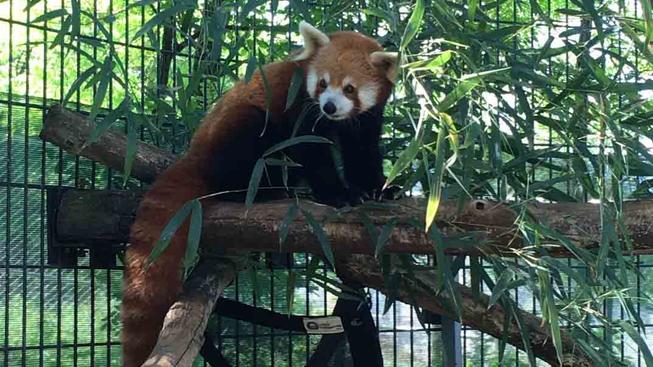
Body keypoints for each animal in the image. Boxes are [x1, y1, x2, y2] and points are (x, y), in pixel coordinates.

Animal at [120, 21, 400, 366]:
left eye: (349, 88)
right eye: (322, 83)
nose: (329, 106)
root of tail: (196, 154)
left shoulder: (365, 119)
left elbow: (363, 153)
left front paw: (381, 189)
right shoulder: (300, 106)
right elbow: (313, 153)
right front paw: (339, 195)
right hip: (238, 134)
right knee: (252, 138)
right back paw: (261, 193)